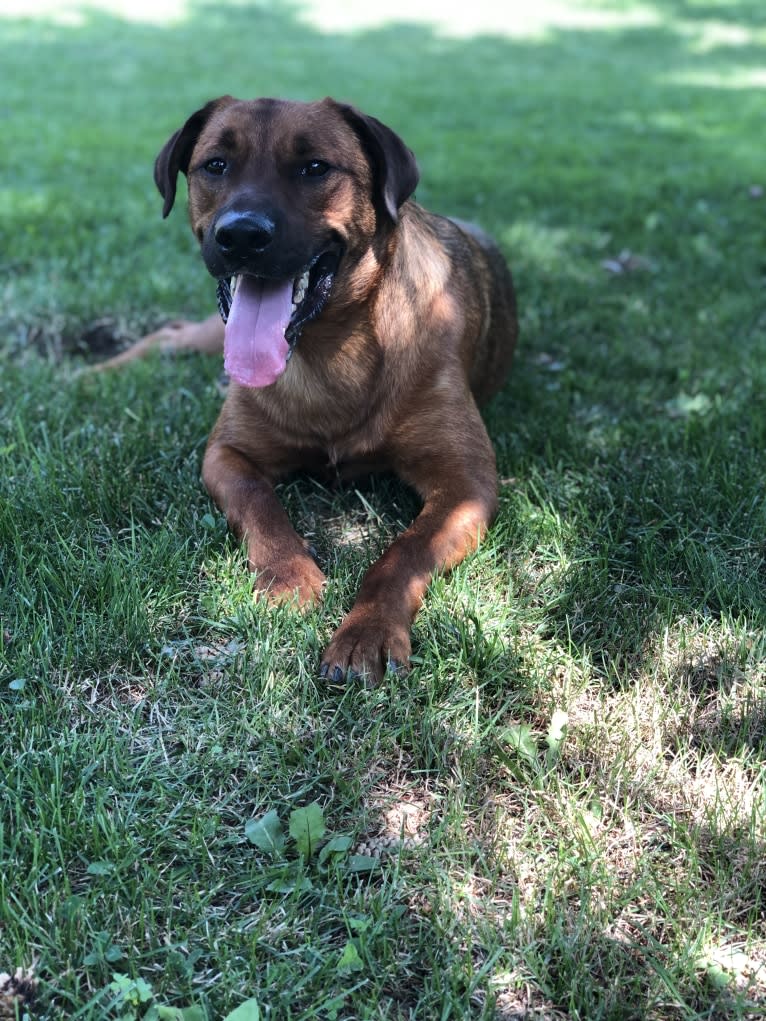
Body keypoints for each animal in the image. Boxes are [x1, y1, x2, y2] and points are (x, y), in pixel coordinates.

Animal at [102, 97, 518, 686]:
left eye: (315, 168)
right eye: (215, 165)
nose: (241, 235)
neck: (326, 350)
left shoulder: (466, 484)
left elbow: (404, 551)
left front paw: (368, 628)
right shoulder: (227, 453)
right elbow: (262, 506)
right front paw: (288, 577)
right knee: (168, 335)